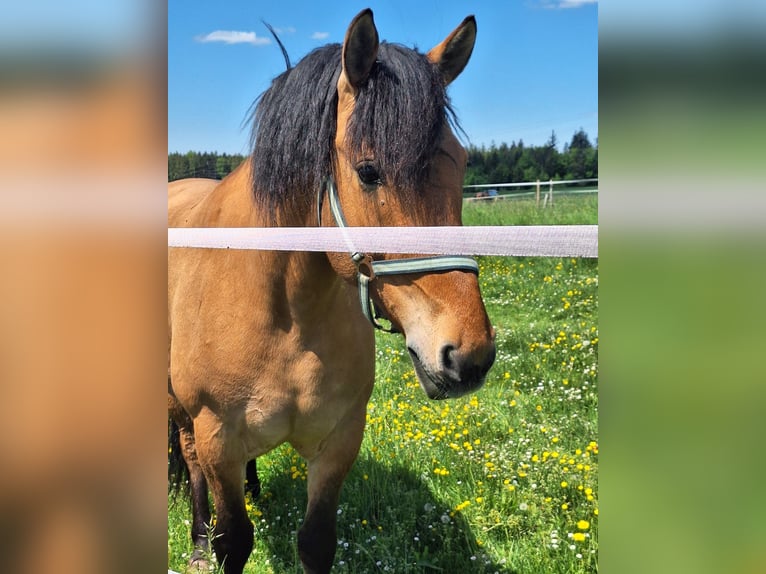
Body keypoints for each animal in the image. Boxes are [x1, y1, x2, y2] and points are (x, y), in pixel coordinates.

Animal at [168, 9, 496, 573]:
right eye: (368, 171)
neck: (287, 316)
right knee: (189, 463)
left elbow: (316, 541)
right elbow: (234, 540)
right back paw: (196, 545)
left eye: (461, 163)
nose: (468, 356)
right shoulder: (217, 438)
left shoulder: (339, 440)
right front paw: (211, 544)